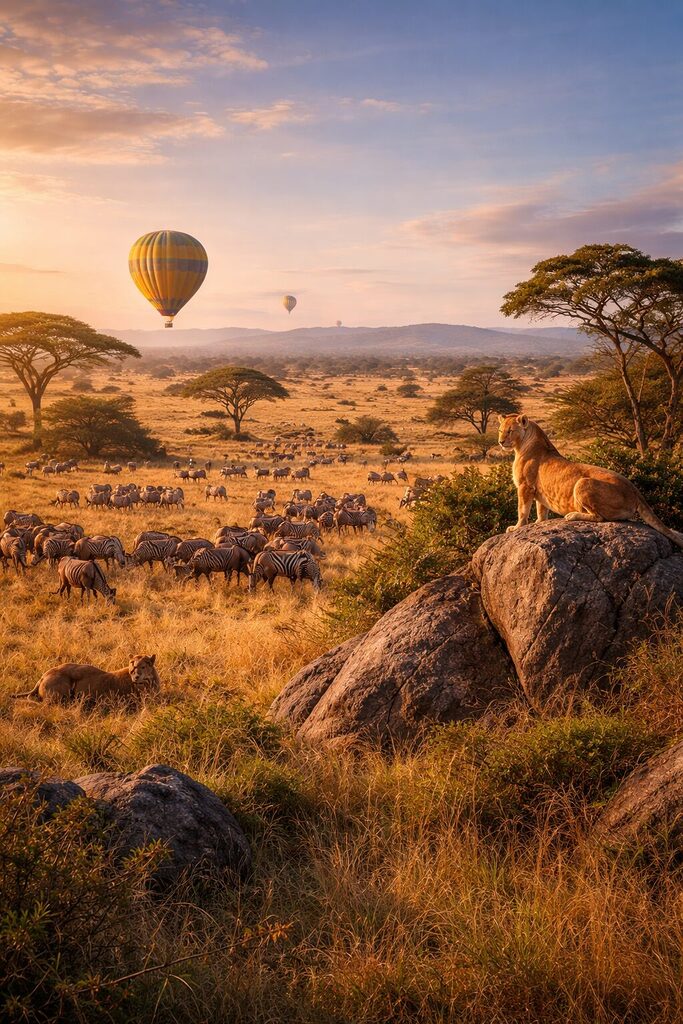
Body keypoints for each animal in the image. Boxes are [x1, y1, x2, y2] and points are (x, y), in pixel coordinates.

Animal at [12, 654, 160, 704]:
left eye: (143, 666)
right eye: (132, 665)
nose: (135, 675)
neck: (149, 682)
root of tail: (43, 676)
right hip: (59, 694)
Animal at [498, 414, 683, 547]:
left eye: (510, 431)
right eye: (500, 430)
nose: (500, 441)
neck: (522, 445)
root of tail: (635, 490)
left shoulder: (525, 486)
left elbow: (522, 509)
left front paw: (517, 527)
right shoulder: (537, 489)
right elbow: (541, 509)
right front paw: (538, 523)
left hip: (583, 483)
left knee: (599, 517)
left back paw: (572, 516)